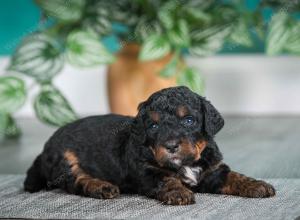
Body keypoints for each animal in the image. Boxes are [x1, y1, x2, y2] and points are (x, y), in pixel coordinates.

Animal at [24, 86, 276, 205]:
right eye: (153, 126)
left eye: (189, 120)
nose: (171, 145)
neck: (184, 164)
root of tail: (44, 149)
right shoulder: (147, 172)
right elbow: (166, 179)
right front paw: (178, 192)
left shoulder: (212, 170)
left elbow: (234, 176)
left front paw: (257, 185)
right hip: (65, 160)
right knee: (76, 181)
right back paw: (101, 187)